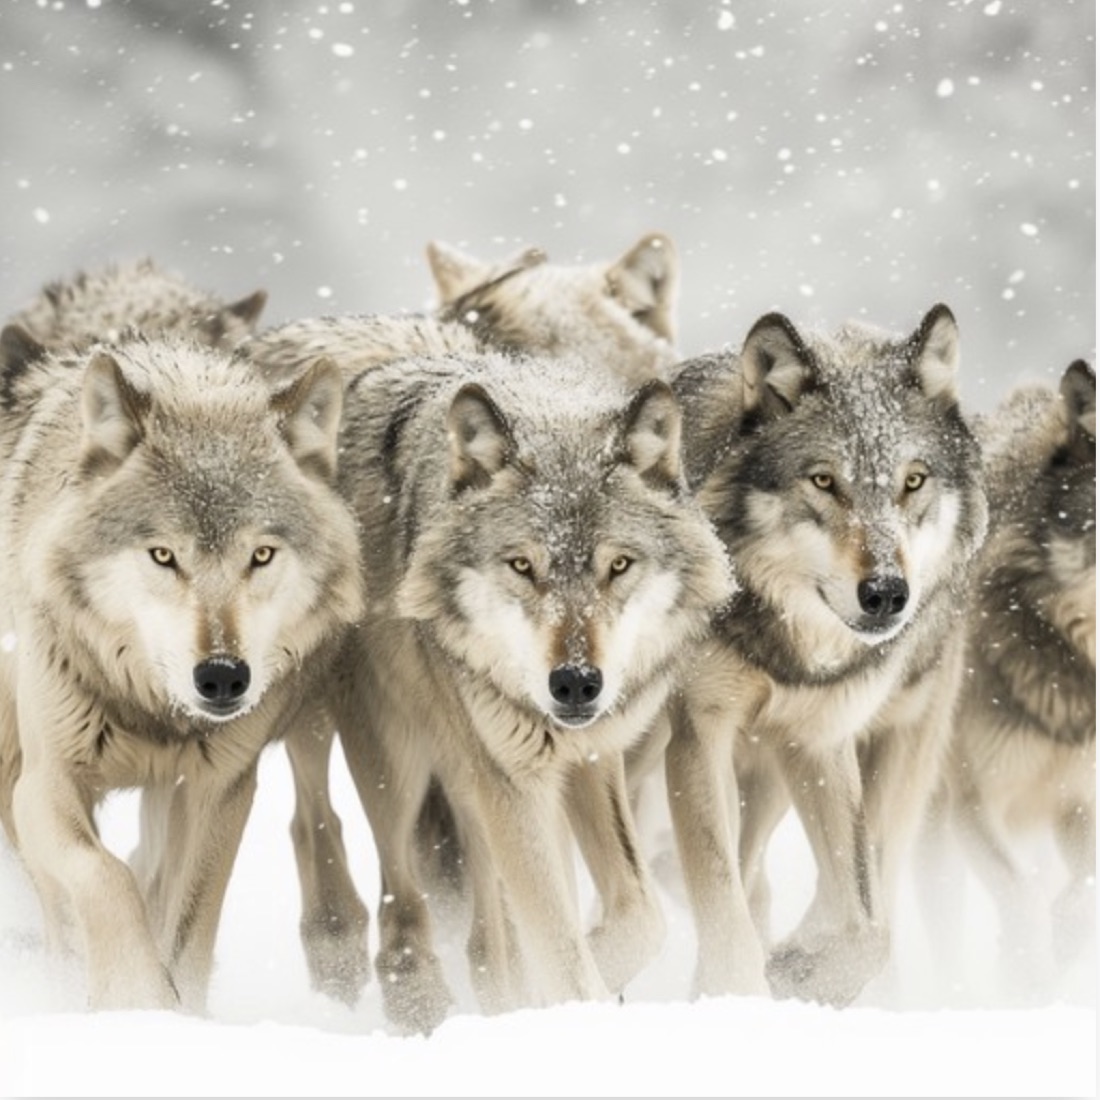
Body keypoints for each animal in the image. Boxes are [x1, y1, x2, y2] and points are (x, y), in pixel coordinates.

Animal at [0, 334, 363, 1011]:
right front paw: (134, 999)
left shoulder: (219, 792)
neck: (152, 712)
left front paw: (178, 1011)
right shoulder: (42, 786)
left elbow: (187, 929)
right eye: (163, 555)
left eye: (261, 554)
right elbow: (105, 876)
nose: (222, 677)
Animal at [322, 351, 733, 1032]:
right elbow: (563, 953)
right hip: (399, 768)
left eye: (618, 565)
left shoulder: (591, 760)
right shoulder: (513, 780)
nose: (575, 684)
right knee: (404, 903)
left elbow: (641, 915)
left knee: (490, 934)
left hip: (473, 788)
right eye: (522, 566)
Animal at [661, 304, 988, 1005]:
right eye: (823, 481)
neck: (790, 649)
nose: (886, 592)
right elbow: (721, 903)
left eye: (913, 482)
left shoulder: (818, 741)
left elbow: (867, 923)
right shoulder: (698, 734)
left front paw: (800, 969)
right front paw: (737, 991)